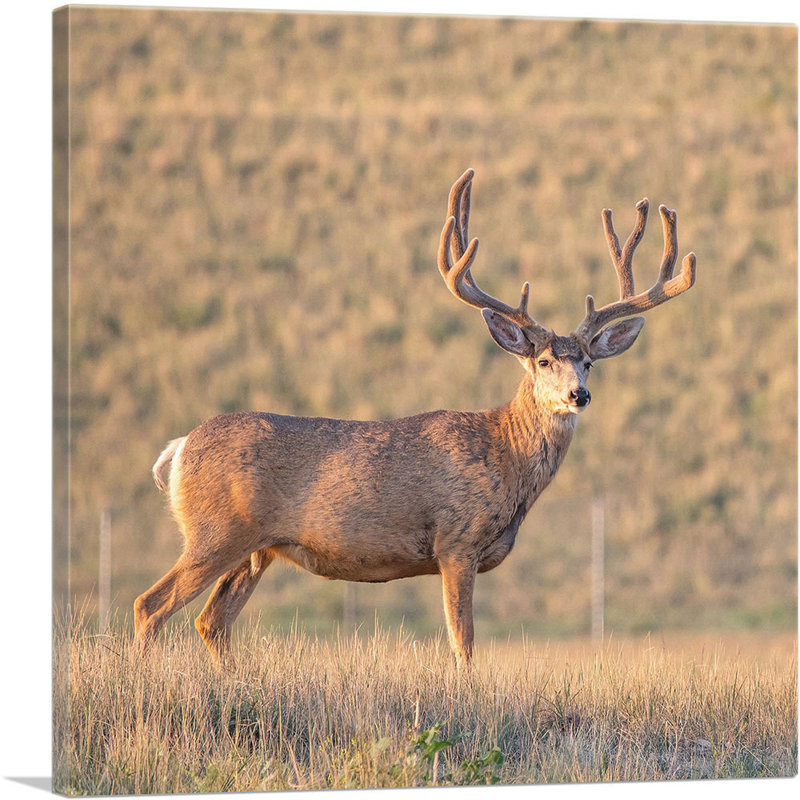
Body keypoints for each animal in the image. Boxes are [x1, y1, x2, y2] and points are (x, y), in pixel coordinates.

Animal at [134, 168, 696, 668]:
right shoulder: (456, 541)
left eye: (588, 361)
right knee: (150, 605)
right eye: (542, 361)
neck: (504, 456)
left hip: (258, 548)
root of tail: (177, 450)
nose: (579, 394)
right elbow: (463, 642)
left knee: (211, 621)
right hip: (216, 530)